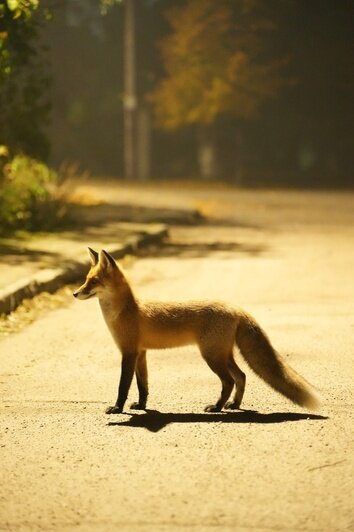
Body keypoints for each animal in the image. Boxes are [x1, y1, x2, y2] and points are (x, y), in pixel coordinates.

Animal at [73, 247, 320, 414]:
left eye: (93, 282)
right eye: (85, 280)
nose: (75, 293)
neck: (126, 311)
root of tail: (236, 307)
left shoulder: (129, 352)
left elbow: (123, 385)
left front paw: (117, 408)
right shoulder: (141, 353)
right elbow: (143, 385)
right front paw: (142, 406)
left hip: (211, 356)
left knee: (229, 381)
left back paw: (217, 407)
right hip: (222, 355)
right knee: (241, 376)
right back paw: (234, 404)